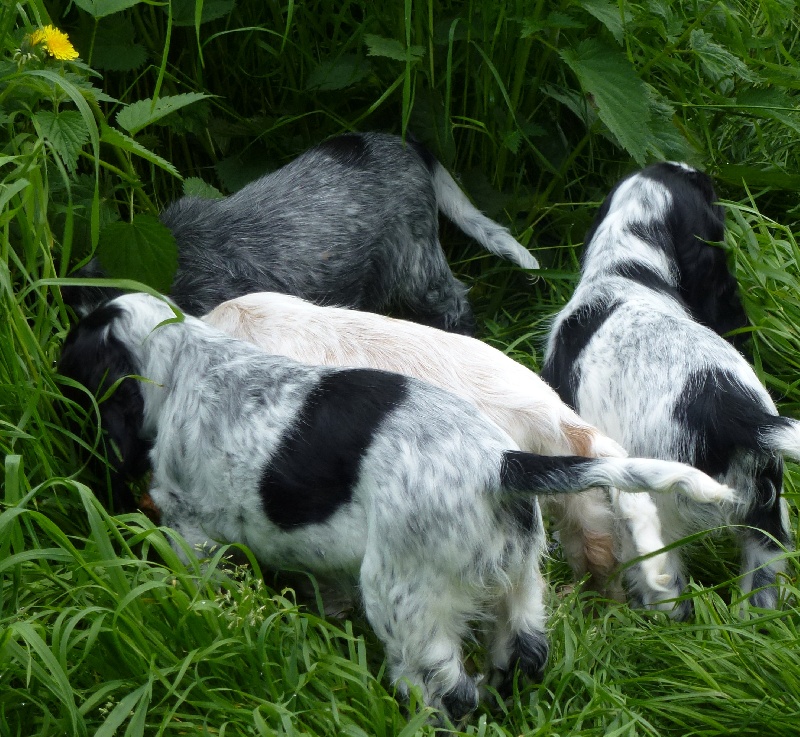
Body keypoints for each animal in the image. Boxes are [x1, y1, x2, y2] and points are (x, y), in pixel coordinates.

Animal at [540, 161, 796, 616]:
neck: (627, 271)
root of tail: (733, 412)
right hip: (766, 523)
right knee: (761, 591)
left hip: (658, 515)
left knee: (667, 594)